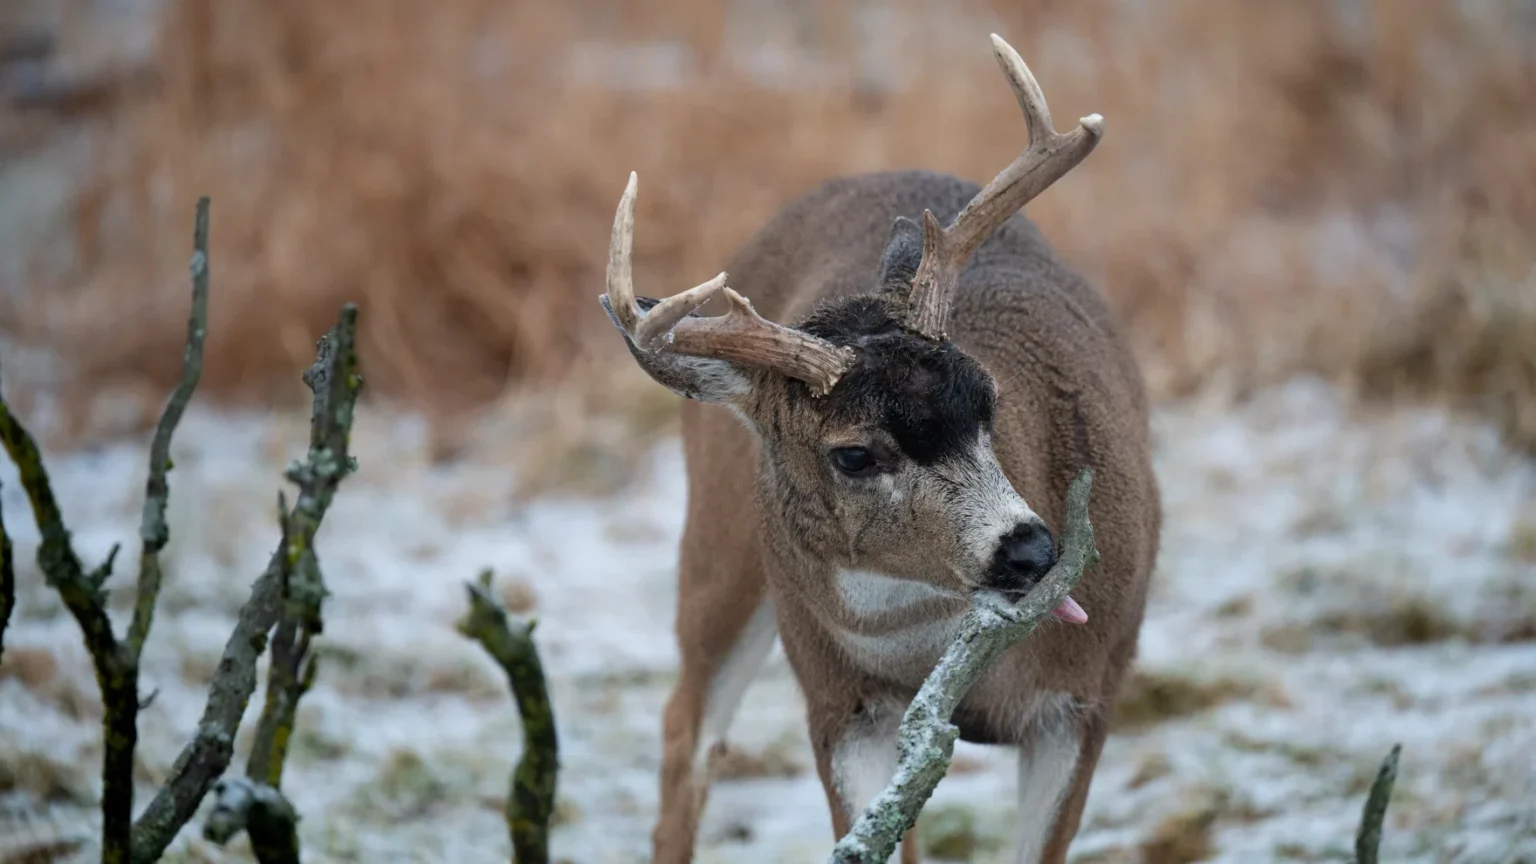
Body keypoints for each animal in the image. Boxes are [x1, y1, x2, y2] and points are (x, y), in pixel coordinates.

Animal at [592, 30, 1155, 854]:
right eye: (853, 453)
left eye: (987, 397)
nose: (1029, 549)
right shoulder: (842, 703)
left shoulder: (1088, 694)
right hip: (720, 541)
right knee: (685, 727)